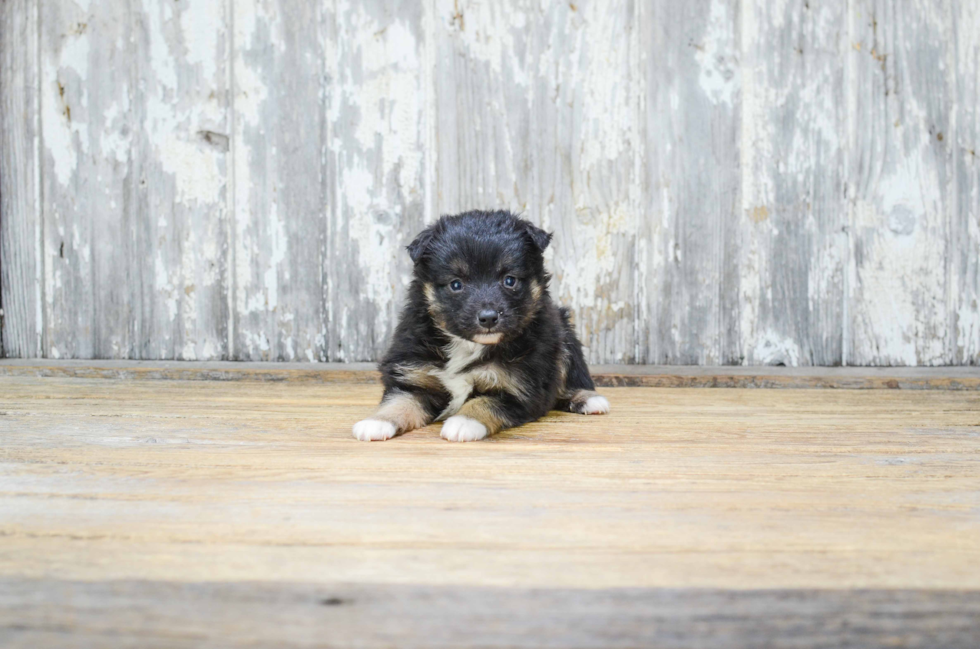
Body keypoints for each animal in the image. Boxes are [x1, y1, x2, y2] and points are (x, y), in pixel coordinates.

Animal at [352, 210, 608, 442]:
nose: (488, 318)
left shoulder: (519, 388)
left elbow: (485, 402)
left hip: (565, 336)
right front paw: (377, 422)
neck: (467, 346)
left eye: (509, 280)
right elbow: (398, 401)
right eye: (456, 284)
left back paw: (588, 399)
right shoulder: (415, 377)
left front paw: (464, 422)